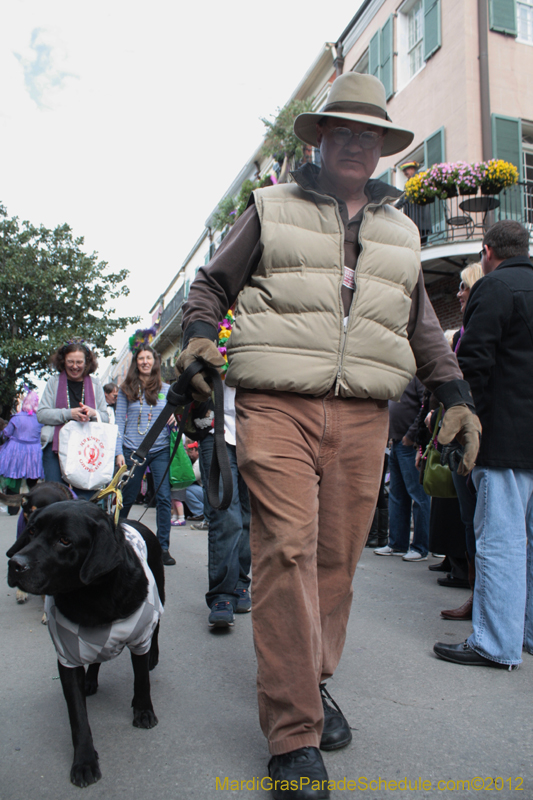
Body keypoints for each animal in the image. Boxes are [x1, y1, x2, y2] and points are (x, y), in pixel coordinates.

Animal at [6, 500, 164, 788]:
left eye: (65, 540)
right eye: (32, 531)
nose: (15, 564)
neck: (93, 597)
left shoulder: (139, 638)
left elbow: (141, 681)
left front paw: (144, 711)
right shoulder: (67, 656)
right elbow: (78, 716)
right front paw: (84, 761)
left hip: (159, 598)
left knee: (157, 629)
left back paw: (153, 658)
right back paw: (90, 680)